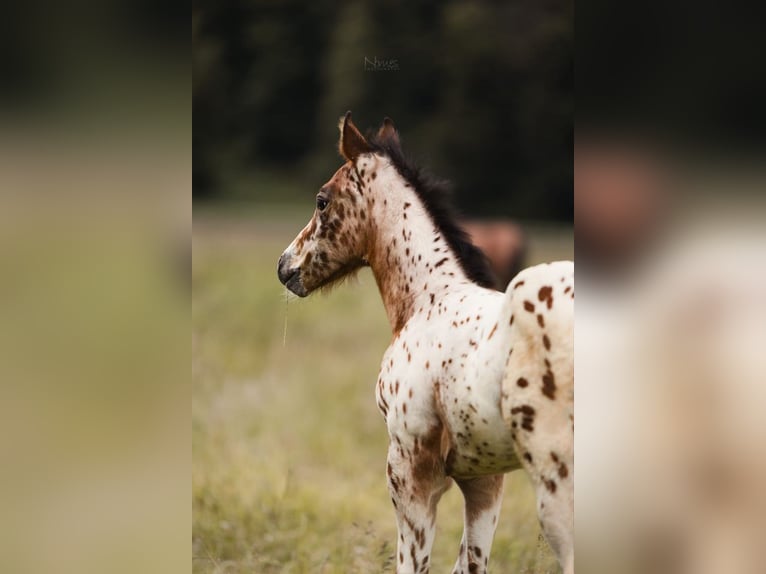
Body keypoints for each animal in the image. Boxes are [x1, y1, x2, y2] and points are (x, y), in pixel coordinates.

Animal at [280, 113, 572, 574]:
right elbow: (470, 563)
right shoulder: (485, 479)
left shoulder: (409, 470)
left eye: (321, 200)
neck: (429, 299)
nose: (284, 266)